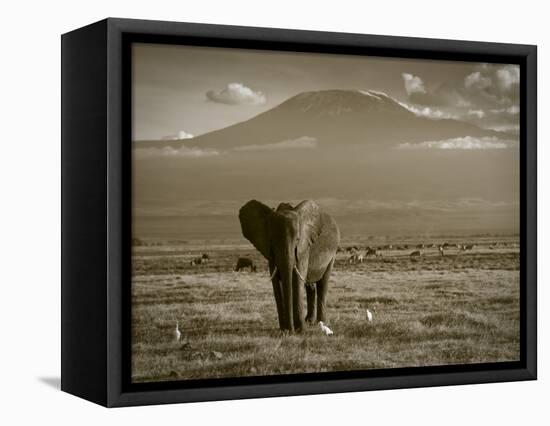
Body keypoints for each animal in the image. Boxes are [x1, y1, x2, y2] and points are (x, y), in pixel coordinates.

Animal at [240, 199, 340, 332]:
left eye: (297, 239)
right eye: (271, 241)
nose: (290, 329)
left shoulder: (304, 248)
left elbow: (297, 279)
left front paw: (299, 330)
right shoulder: (271, 253)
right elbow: (276, 282)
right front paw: (285, 330)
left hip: (333, 253)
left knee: (323, 283)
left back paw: (321, 322)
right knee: (310, 286)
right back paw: (309, 321)